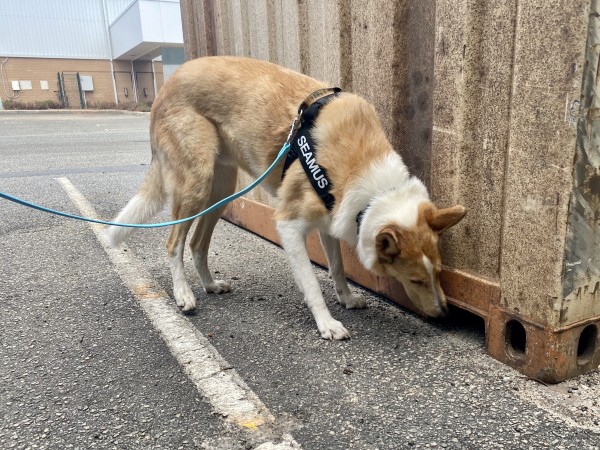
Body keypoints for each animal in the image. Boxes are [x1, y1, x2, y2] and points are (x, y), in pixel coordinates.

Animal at [108, 56, 466, 340]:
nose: (445, 314)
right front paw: (327, 324)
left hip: (221, 191)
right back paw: (183, 294)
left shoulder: (331, 219)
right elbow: (311, 284)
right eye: (415, 279)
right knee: (174, 242)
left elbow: (337, 267)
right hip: (196, 183)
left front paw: (347, 299)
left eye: (438, 272)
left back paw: (210, 285)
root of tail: (167, 84)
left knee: (197, 243)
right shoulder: (289, 225)